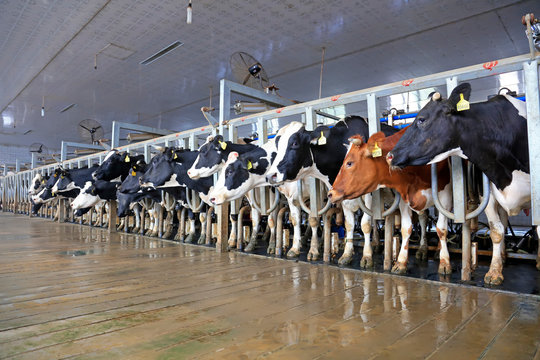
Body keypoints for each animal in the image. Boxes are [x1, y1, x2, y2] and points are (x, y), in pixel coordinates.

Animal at [330, 131, 452, 274]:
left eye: (349, 163)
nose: (330, 194)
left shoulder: (445, 195)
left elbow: (441, 228)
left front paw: (366, 257)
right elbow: (350, 225)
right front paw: (347, 254)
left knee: (425, 219)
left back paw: (428, 249)